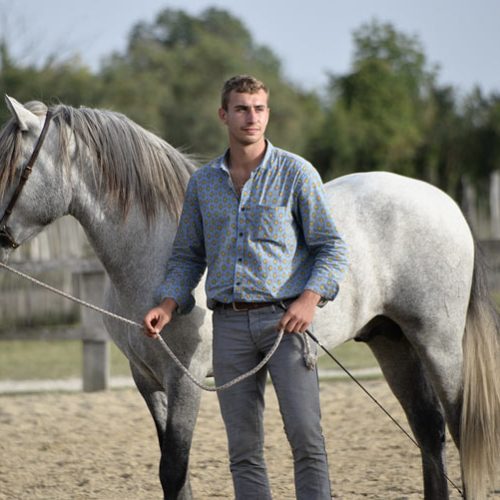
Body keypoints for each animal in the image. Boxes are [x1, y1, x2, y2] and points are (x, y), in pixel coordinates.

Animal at [0, 95, 498, 498]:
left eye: (13, 167)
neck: (158, 249)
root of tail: (446, 203)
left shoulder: (186, 379)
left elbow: (174, 469)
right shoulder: (147, 379)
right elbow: (176, 473)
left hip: (437, 343)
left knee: (460, 428)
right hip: (391, 341)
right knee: (428, 429)